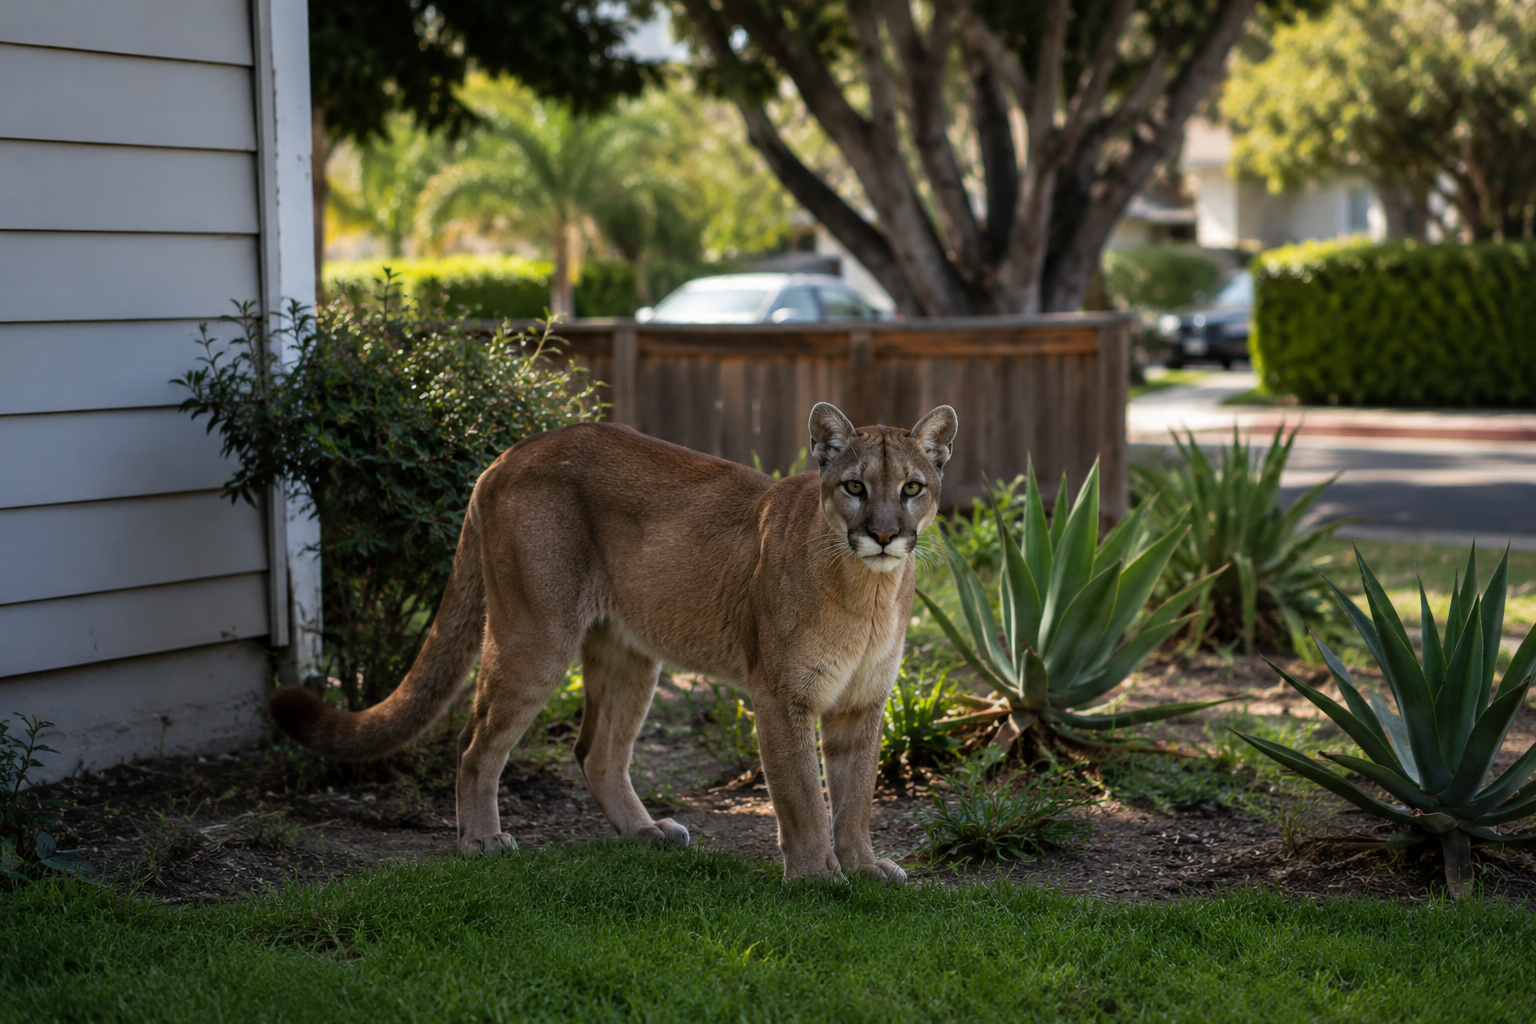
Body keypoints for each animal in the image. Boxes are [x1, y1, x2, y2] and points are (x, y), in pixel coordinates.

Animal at [269, 401, 958, 882]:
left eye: (912, 488)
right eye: (854, 487)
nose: (884, 535)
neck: (868, 591)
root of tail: (508, 454)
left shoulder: (862, 703)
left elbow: (856, 794)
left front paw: (864, 866)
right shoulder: (781, 697)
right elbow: (804, 798)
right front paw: (817, 876)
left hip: (630, 653)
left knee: (595, 751)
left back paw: (646, 832)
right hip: (534, 636)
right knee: (473, 743)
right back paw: (482, 841)